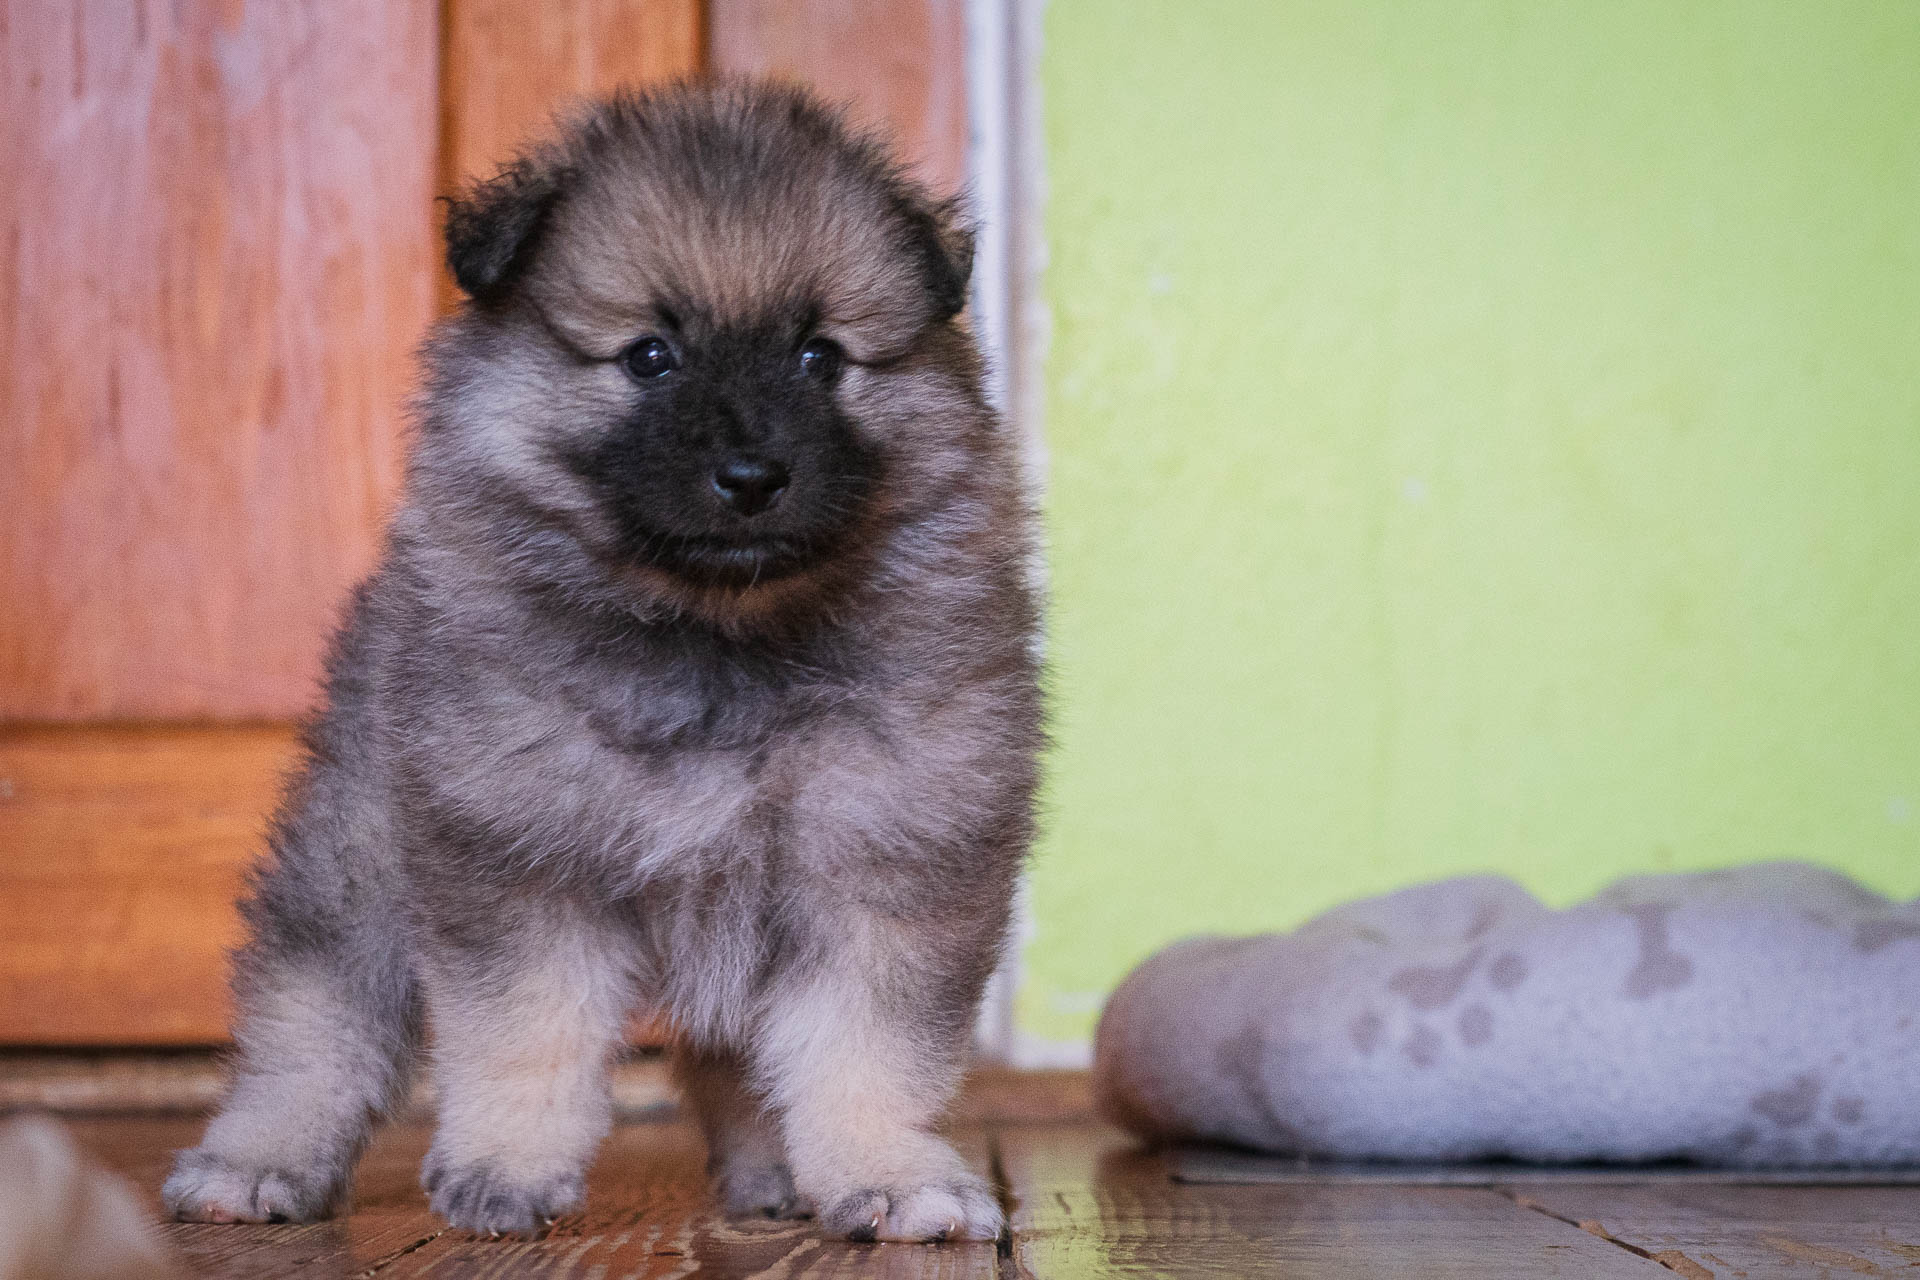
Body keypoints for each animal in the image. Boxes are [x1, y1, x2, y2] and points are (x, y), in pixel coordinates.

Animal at [161, 80, 1036, 1243]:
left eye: (821, 357)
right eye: (649, 356)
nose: (752, 475)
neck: (715, 635)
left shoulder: (883, 861)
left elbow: (864, 1049)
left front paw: (887, 1173)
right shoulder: (522, 859)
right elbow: (525, 1032)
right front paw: (507, 1167)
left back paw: (771, 1175)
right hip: (360, 857)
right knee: (312, 1021)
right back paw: (255, 1161)